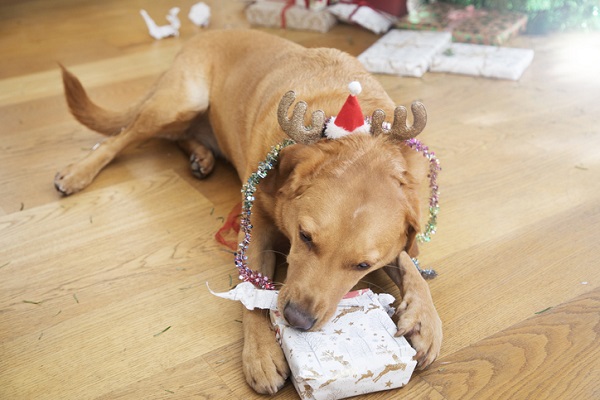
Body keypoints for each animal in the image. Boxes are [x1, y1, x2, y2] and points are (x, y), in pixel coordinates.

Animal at [55, 28, 440, 394]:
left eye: (362, 266)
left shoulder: (403, 233)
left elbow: (410, 262)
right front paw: (261, 352)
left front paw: (424, 317)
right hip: (181, 102)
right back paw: (77, 173)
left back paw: (200, 156)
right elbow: (251, 290)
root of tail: (202, 37)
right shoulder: (255, 230)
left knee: (176, 137)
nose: (297, 320)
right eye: (305, 237)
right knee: (122, 136)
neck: (356, 140)